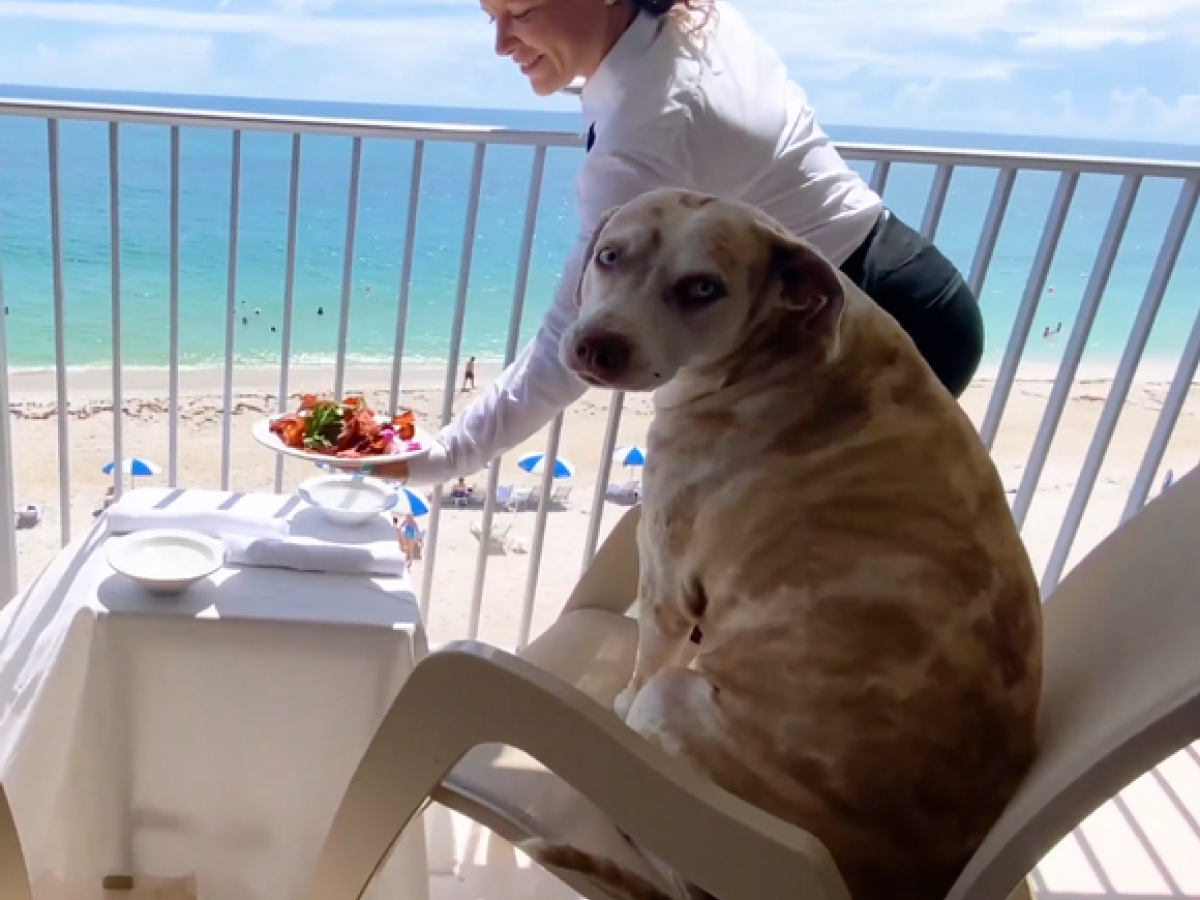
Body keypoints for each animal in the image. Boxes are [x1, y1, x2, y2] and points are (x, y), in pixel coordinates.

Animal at [525, 190, 1041, 900]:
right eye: (609, 256)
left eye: (702, 289)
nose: (594, 345)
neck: (780, 351)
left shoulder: (665, 584)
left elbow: (645, 663)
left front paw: (620, 702)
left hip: (677, 709)